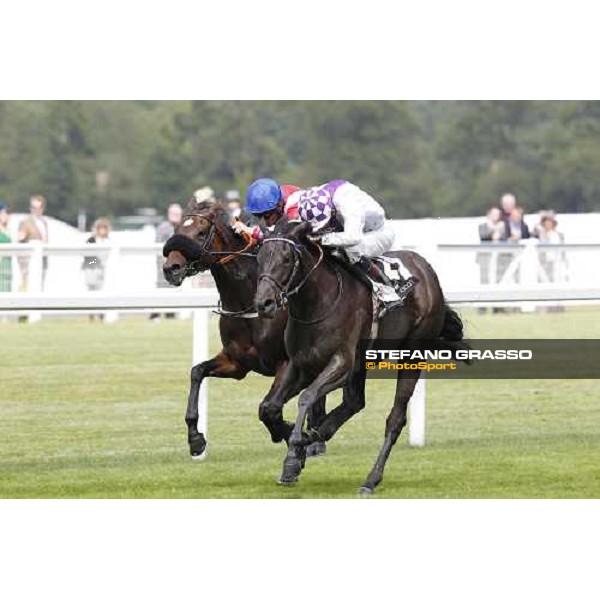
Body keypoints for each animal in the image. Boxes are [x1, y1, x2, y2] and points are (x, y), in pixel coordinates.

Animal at [161, 202, 328, 460]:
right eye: (178, 228)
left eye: (201, 232)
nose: (171, 268)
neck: (249, 304)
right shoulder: (236, 363)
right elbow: (197, 372)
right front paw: (195, 438)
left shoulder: (287, 363)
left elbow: (269, 408)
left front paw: (290, 433)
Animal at [254, 220, 468, 492]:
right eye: (260, 258)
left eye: (286, 258)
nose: (264, 303)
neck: (317, 303)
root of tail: (427, 270)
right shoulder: (301, 364)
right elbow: (268, 407)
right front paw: (296, 440)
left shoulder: (341, 364)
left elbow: (307, 397)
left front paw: (293, 455)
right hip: (362, 363)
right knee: (355, 402)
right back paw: (316, 435)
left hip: (412, 353)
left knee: (395, 419)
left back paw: (371, 478)